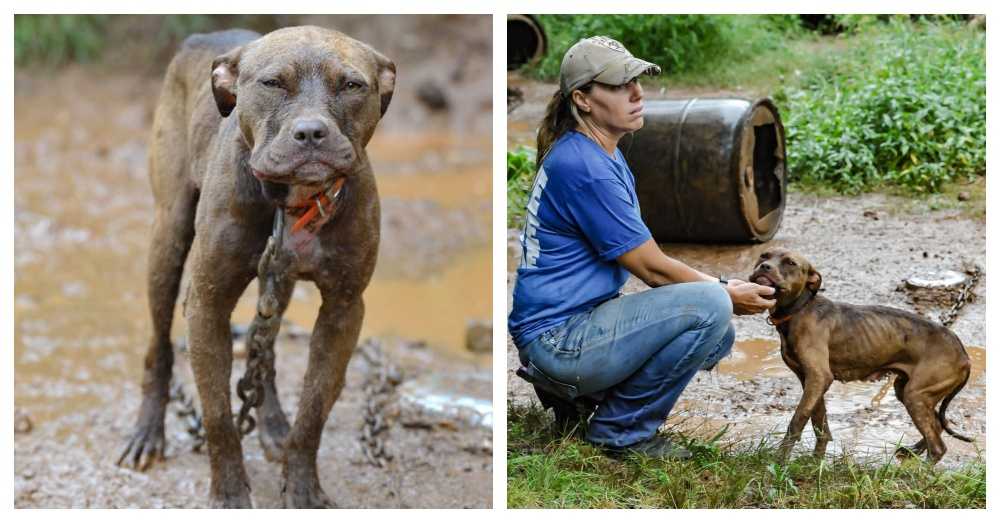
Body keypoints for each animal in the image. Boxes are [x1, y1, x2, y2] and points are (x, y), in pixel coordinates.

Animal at [117, 27, 394, 508]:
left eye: (352, 85)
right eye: (272, 83)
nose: (311, 132)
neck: (293, 201)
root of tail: (206, 35)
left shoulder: (343, 311)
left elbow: (313, 412)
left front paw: (302, 488)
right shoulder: (206, 306)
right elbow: (218, 418)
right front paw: (228, 495)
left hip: (277, 281)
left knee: (264, 354)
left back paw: (273, 423)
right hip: (167, 239)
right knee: (160, 347)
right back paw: (148, 432)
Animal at [752, 249, 968, 462]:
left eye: (790, 263)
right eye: (764, 255)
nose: (764, 266)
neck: (799, 309)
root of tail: (964, 354)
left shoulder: (818, 377)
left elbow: (797, 420)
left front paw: (780, 462)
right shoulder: (810, 380)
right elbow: (818, 420)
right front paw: (816, 459)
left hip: (915, 396)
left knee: (938, 447)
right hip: (909, 391)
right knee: (937, 425)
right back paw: (913, 450)